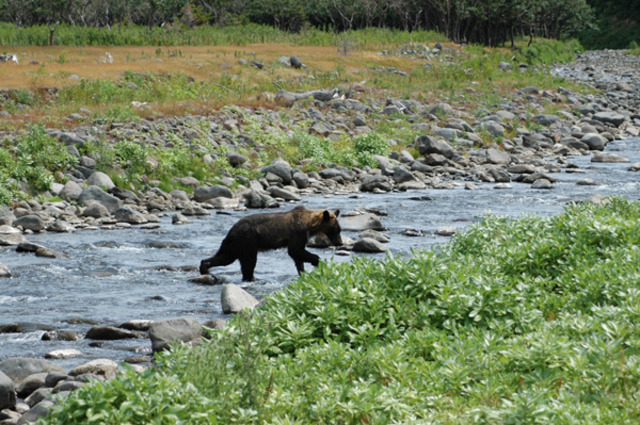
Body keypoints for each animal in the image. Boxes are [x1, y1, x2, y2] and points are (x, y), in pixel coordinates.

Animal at [200, 206, 342, 282]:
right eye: (335, 229)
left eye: (339, 229)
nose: (340, 242)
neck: (310, 225)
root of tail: (231, 230)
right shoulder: (297, 232)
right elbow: (295, 250)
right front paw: (316, 260)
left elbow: (298, 255)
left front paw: (302, 272)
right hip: (248, 239)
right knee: (249, 260)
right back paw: (251, 278)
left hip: (234, 244)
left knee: (225, 257)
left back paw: (205, 267)